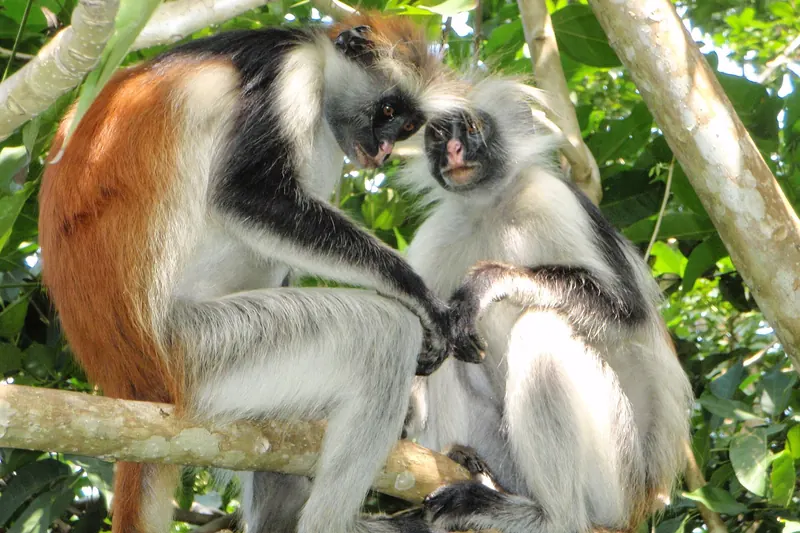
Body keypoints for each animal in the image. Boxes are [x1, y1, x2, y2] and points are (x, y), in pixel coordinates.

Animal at [38, 16, 475, 533]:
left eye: (407, 125)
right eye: (386, 110)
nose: (386, 149)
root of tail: (131, 382)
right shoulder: (288, 71)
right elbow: (248, 192)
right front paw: (421, 298)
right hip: (203, 349)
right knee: (383, 335)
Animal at [399, 78, 694, 533]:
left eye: (472, 128)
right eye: (437, 135)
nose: (453, 150)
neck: (491, 206)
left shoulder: (553, 197)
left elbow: (629, 317)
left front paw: (490, 281)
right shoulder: (437, 233)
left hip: (615, 474)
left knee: (542, 328)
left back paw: (551, 516)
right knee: (449, 345)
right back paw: (466, 462)